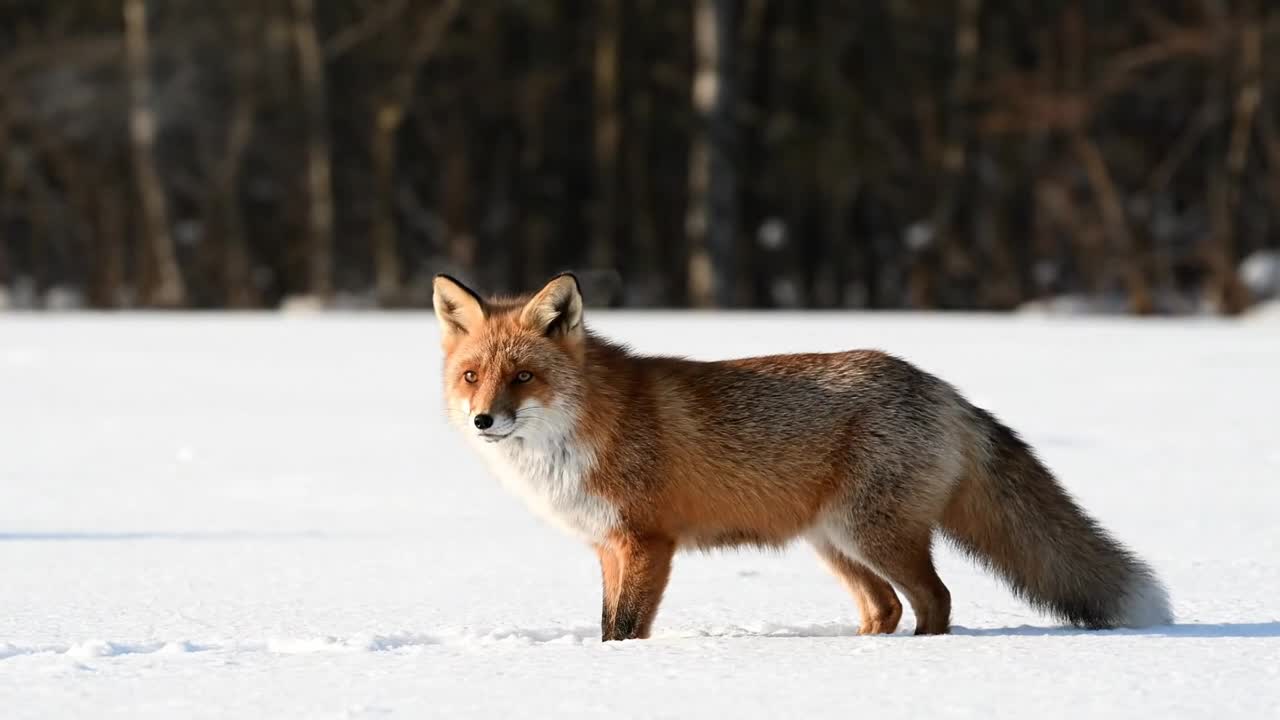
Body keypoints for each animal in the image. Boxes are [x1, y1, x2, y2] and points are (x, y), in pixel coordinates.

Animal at [432, 272, 1172, 641]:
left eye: (523, 377)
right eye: (472, 376)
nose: (483, 420)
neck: (580, 433)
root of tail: (941, 387)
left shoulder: (647, 541)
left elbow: (626, 628)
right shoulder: (608, 546)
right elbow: (609, 624)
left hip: (872, 534)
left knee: (934, 599)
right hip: (835, 543)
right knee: (886, 608)